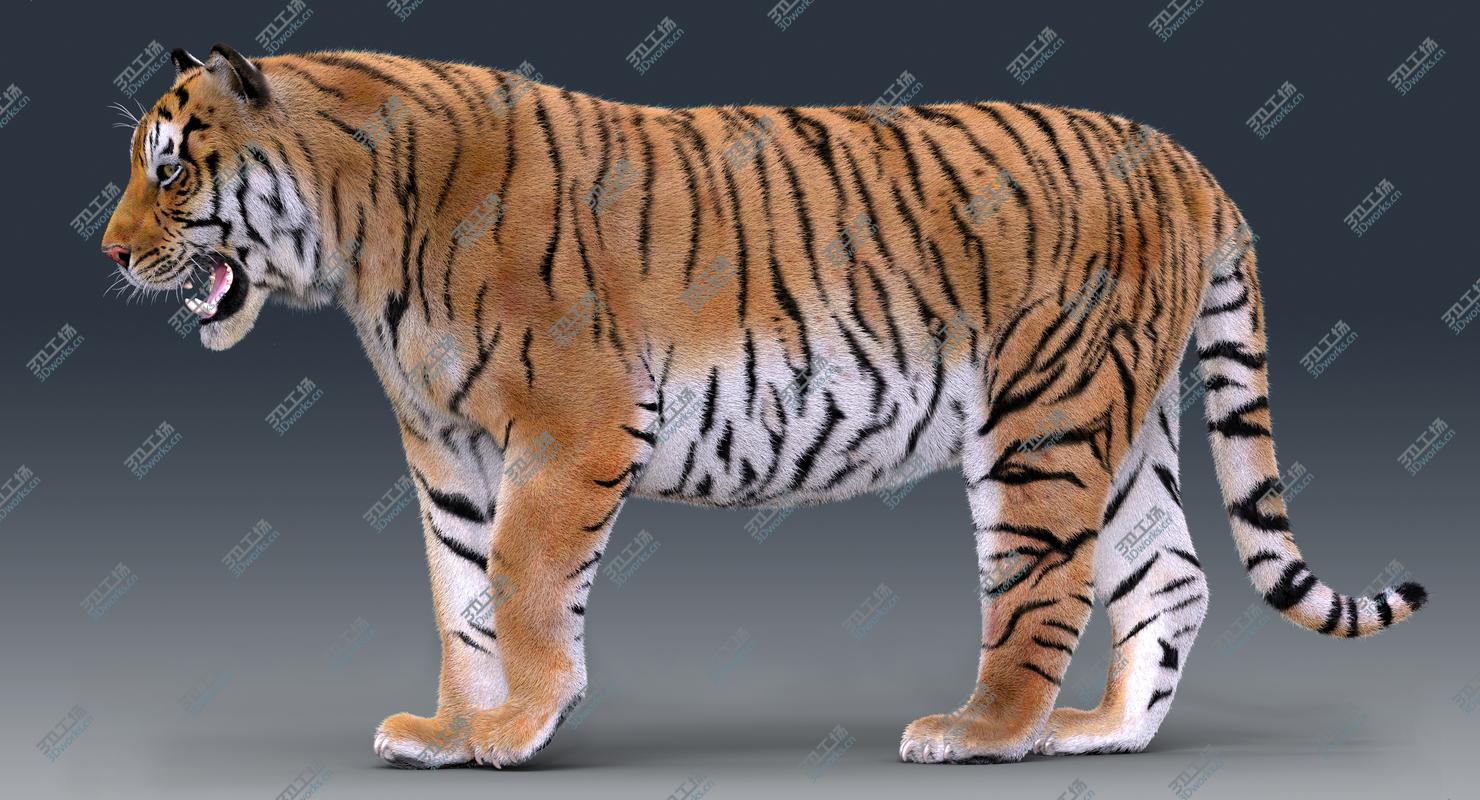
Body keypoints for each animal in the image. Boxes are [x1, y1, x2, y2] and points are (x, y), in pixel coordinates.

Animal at [100, 44, 1428, 767]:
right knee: (1174, 574)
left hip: (1040, 420)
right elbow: (459, 592)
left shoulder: (572, 425)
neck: (355, 235)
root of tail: (1188, 162)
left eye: (167, 168)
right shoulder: (449, 450)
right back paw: (1099, 731)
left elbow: (523, 585)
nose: (107, 252)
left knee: (1042, 585)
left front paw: (522, 722)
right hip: (1126, 420)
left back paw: (982, 728)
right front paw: (453, 731)